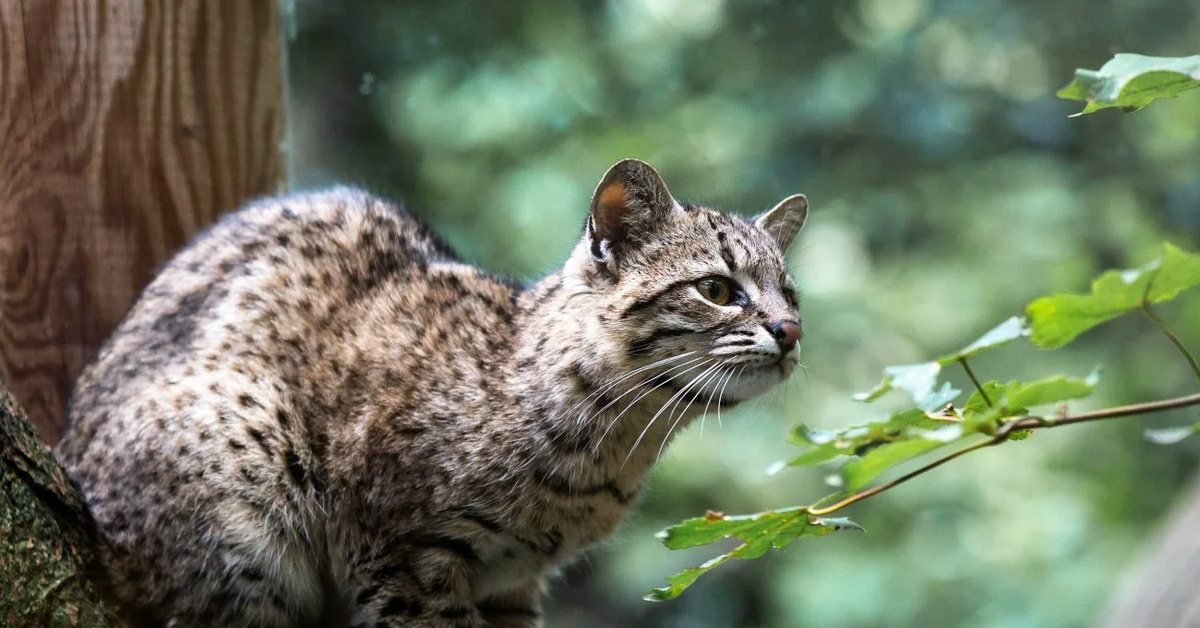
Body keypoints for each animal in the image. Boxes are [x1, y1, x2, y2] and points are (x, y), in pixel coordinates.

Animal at [54, 160, 806, 628]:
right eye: (717, 288)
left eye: (790, 292)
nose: (792, 330)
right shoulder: (403, 562)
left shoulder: (513, 585)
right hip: (244, 493)